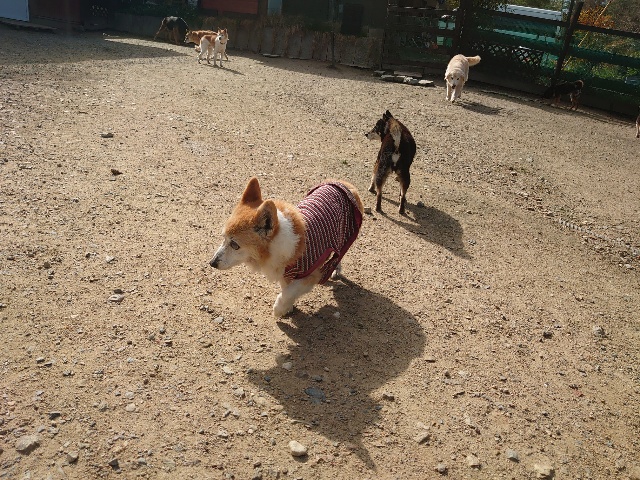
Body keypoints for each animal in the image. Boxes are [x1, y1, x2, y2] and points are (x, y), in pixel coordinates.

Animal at [210, 177, 363, 317]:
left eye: (234, 245)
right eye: (223, 238)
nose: (212, 263)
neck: (274, 246)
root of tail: (344, 183)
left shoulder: (311, 275)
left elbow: (289, 292)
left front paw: (279, 309)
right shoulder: (285, 274)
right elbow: (287, 289)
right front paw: (288, 308)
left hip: (345, 238)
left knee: (339, 255)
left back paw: (335, 268)